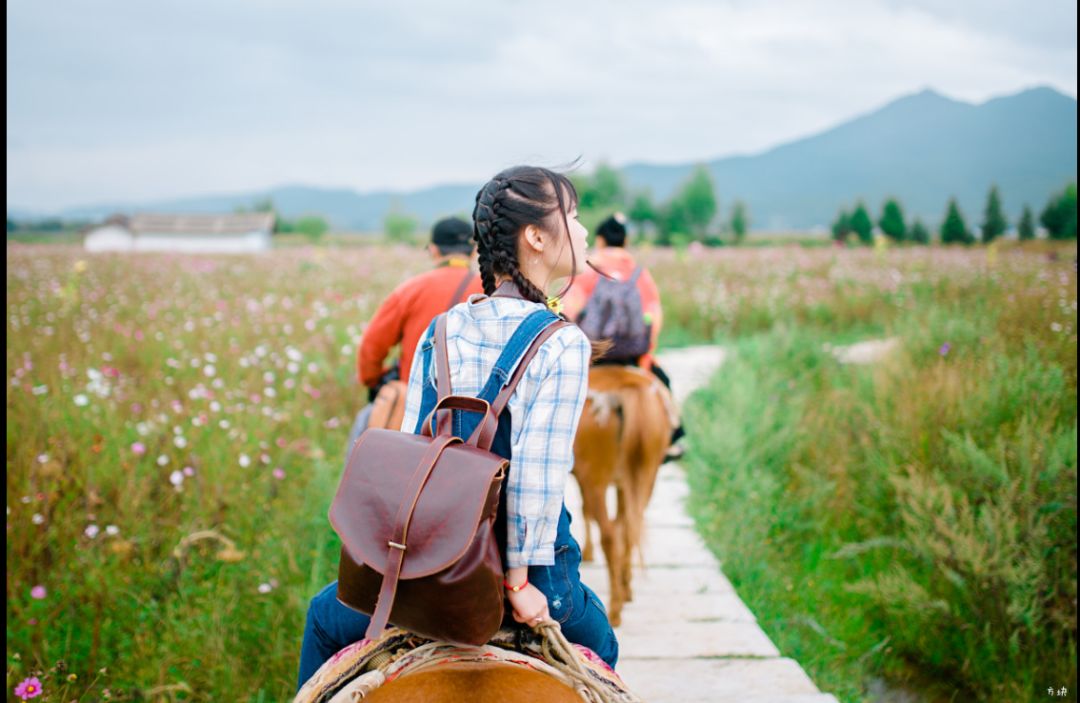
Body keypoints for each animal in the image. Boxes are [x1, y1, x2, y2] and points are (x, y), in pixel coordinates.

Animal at [574, 362, 673, 626]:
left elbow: (584, 510)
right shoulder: (623, 483)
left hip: (594, 478)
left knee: (609, 534)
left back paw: (615, 610)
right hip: (647, 475)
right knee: (628, 528)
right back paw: (624, 590)